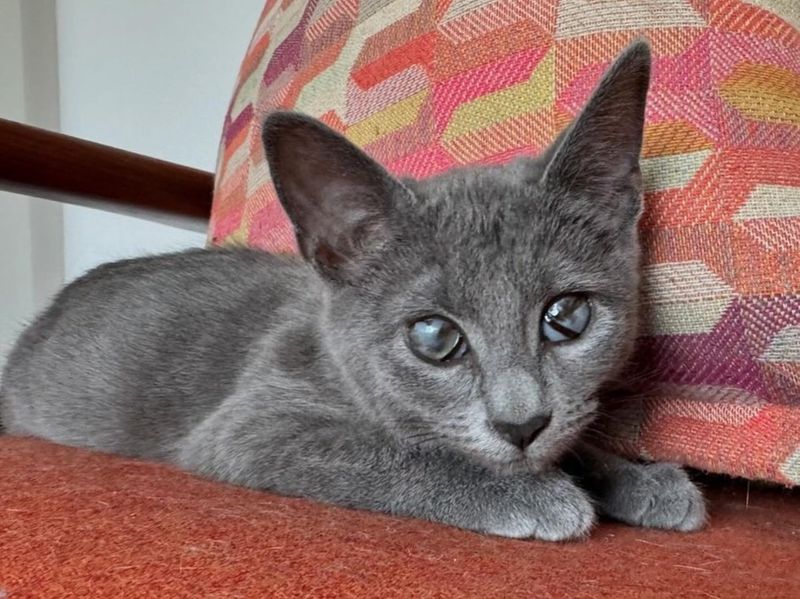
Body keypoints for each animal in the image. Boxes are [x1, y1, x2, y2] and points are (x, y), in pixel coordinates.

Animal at [0, 41, 700, 540]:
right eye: (434, 336)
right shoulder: (249, 426)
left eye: (567, 316)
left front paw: (638, 479)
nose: (521, 422)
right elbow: (391, 452)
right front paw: (538, 494)